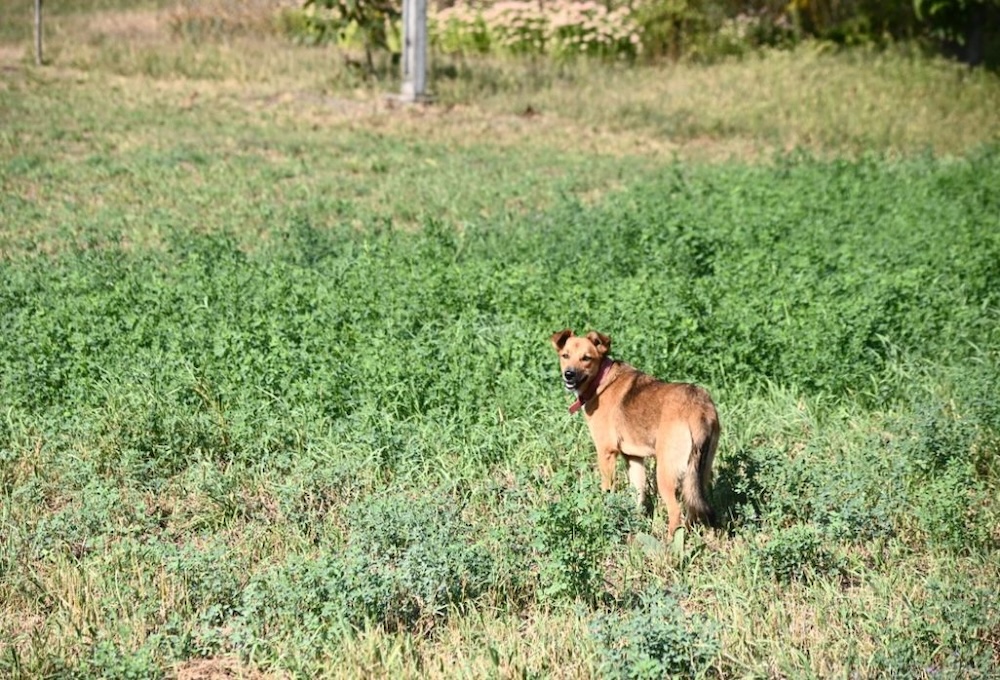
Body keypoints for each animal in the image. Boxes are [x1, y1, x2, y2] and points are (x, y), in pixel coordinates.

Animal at [556, 330, 720, 536]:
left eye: (586, 358)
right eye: (565, 355)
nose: (568, 375)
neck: (601, 380)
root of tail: (697, 408)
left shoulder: (606, 453)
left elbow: (607, 490)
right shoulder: (634, 458)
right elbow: (637, 495)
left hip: (665, 473)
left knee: (676, 513)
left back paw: (668, 542)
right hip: (699, 472)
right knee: (696, 508)